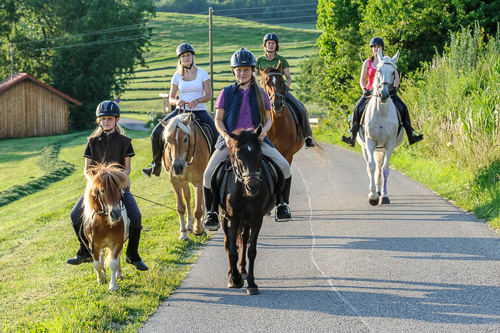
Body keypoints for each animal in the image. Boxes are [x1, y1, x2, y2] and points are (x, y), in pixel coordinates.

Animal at [82, 162, 130, 290]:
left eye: (119, 189)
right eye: (102, 190)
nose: (116, 214)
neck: (104, 225)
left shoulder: (117, 243)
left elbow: (113, 263)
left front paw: (113, 285)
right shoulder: (93, 245)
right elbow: (96, 264)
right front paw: (101, 279)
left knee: (117, 258)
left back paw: (119, 274)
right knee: (102, 256)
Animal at [215, 124, 278, 294]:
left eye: (260, 156)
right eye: (238, 156)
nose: (253, 186)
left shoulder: (256, 219)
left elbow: (251, 250)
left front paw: (251, 283)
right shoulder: (233, 218)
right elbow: (232, 250)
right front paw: (235, 279)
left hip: (246, 221)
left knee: (244, 239)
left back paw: (242, 270)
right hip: (225, 218)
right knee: (228, 243)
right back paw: (232, 273)